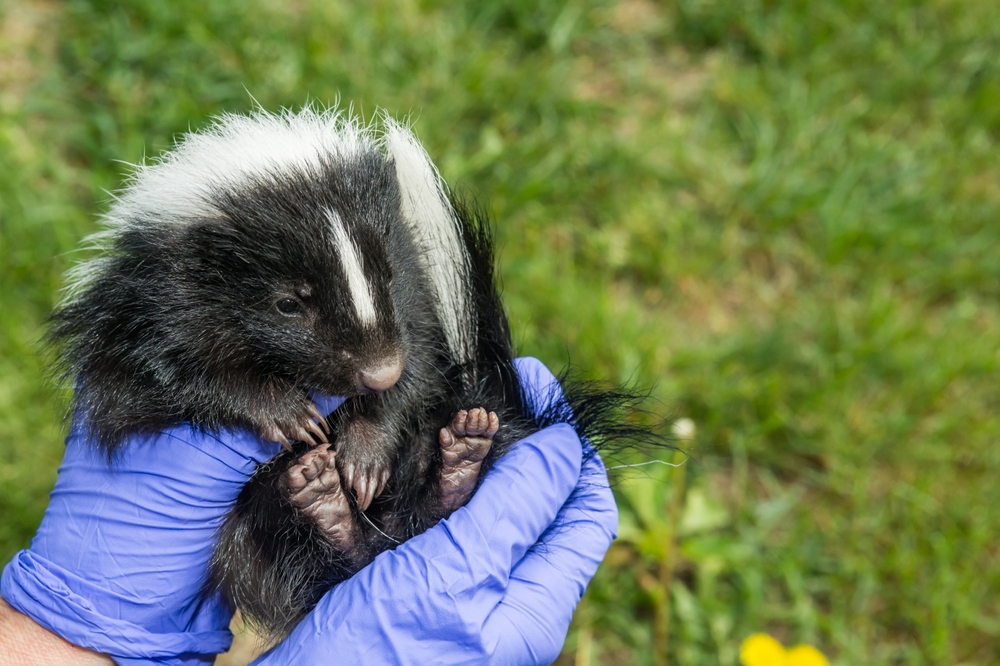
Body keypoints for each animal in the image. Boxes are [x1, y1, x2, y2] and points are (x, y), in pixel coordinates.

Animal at [50, 107, 664, 640]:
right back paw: (324, 500)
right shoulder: (140, 315)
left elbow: (419, 367)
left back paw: (460, 455)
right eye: (287, 304)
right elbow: (164, 374)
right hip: (258, 537)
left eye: (388, 276)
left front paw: (366, 449)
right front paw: (281, 409)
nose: (378, 372)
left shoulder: (412, 316)